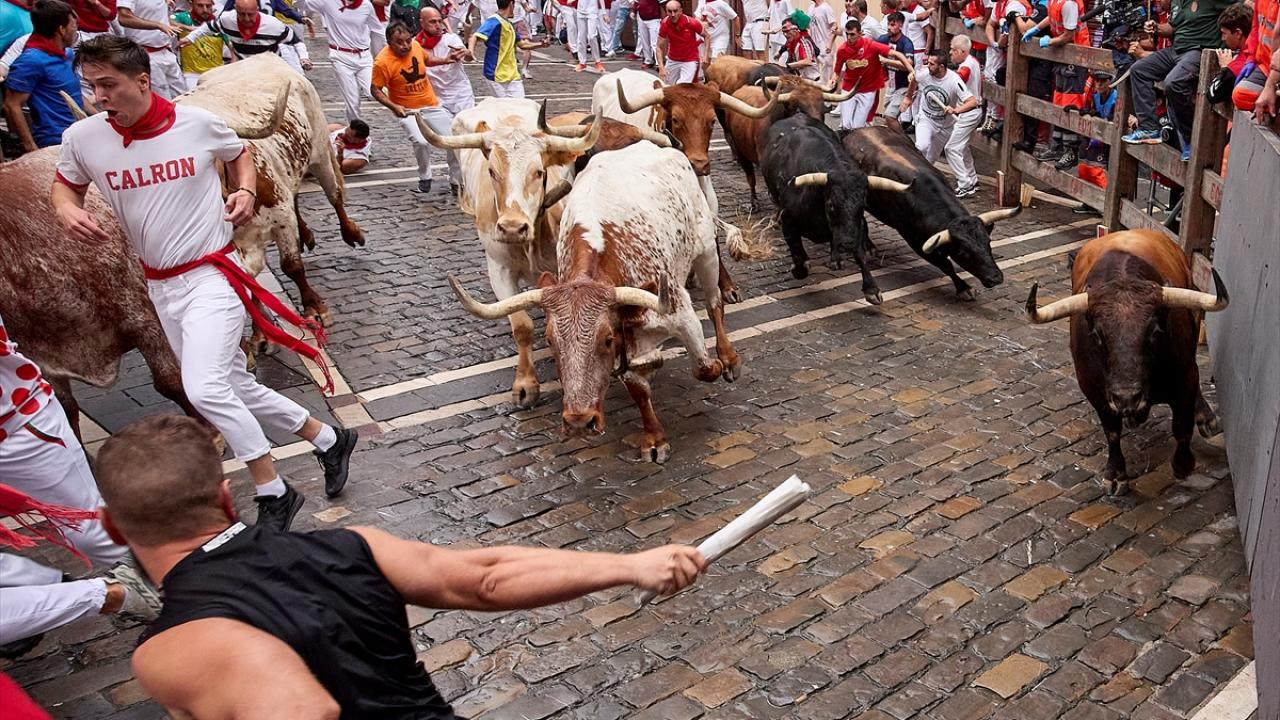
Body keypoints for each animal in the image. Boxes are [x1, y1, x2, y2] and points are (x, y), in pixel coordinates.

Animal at [419, 98, 602, 408]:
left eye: (538, 171)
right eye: (492, 172)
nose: (513, 227)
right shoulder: (499, 269)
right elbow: (521, 325)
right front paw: (525, 384)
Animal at [447, 143, 742, 464]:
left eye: (606, 339)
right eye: (550, 341)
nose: (578, 421)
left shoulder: (681, 314)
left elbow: (704, 368)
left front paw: (710, 364)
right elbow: (638, 389)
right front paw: (654, 438)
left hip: (706, 252)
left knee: (714, 304)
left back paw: (728, 357)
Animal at [761, 113, 911, 303]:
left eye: (862, 205)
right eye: (831, 204)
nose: (847, 244)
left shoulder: (856, 226)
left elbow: (860, 253)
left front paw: (871, 288)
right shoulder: (788, 221)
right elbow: (801, 259)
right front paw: (798, 269)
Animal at [843, 126, 1019, 300]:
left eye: (988, 242)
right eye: (963, 252)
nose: (995, 278)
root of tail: (857, 131)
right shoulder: (916, 241)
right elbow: (946, 265)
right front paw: (963, 288)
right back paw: (869, 248)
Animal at [1025, 230, 1229, 495]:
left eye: (1155, 332)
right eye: (1096, 335)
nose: (1127, 397)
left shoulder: (1187, 375)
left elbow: (1182, 426)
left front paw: (1183, 464)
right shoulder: (1092, 388)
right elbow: (1112, 431)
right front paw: (1116, 474)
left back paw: (1207, 419)